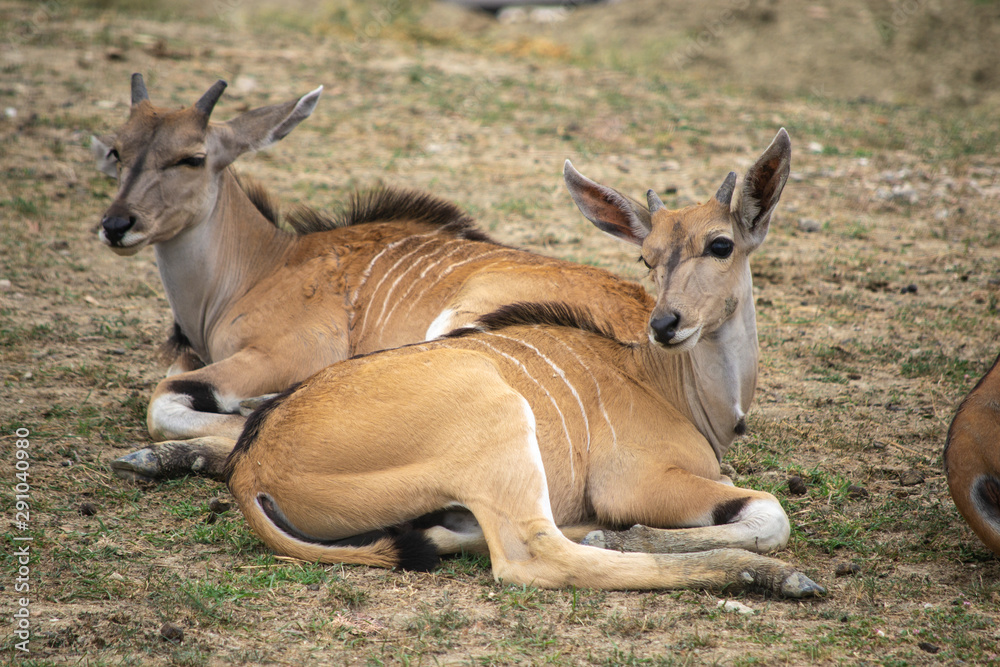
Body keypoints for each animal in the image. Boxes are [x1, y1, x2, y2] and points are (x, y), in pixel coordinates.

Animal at [97, 74, 652, 480]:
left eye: (191, 158)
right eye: (117, 151)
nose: (117, 225)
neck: (262, 266)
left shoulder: (279, 356)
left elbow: (164, 401)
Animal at [229, 129, 828, 596]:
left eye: (721, 244)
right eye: (646, 258)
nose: (665, 324)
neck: (666, 384)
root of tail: (251, 466)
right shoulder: (636, 482)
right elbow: (771, 513)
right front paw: (624, 532)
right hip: (501, 429)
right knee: (535, 557)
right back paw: (765, 574)